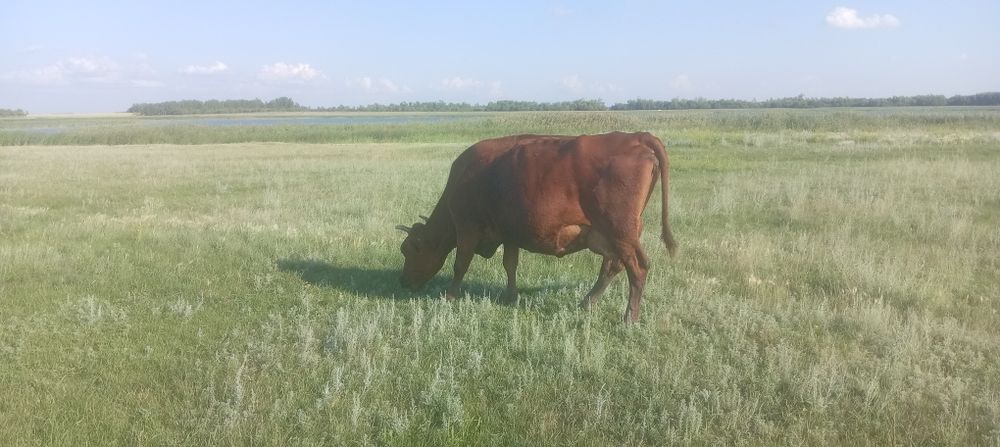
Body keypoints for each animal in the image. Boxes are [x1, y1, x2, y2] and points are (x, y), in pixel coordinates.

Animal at [396, 131, 677, 323]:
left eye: (409, 250)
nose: (403, 281)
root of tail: (635, 137)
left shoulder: (467, 228)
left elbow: (460, 264)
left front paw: (450, 296)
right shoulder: (510, 233)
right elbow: (510, 264)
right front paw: (511, 296)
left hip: (620, 231)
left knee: (637, 268)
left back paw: (629, 318)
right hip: (611, 235)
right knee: (613, 266)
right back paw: (587, 303)